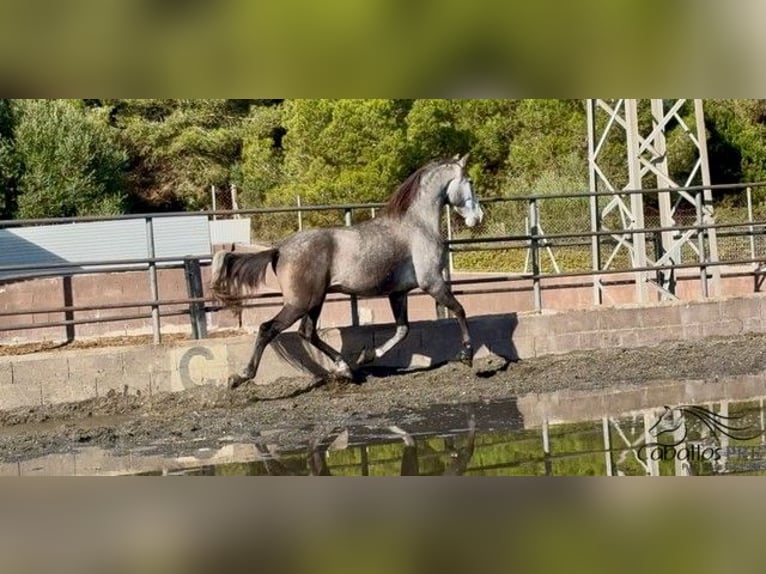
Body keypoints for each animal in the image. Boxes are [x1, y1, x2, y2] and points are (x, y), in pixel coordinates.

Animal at [210, 154, 484, 389]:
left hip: (315, 301)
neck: (417, 225)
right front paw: (467, 354)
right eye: (470, 181)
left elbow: (402, 330)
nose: (478, 217)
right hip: (300, 303)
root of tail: (279, 249)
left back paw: (346, 369)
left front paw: (367, 356)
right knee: (269, 329)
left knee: (307, 332)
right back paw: (240, 377)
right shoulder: (432, 282)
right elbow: (459, 310)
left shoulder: (398, 293)